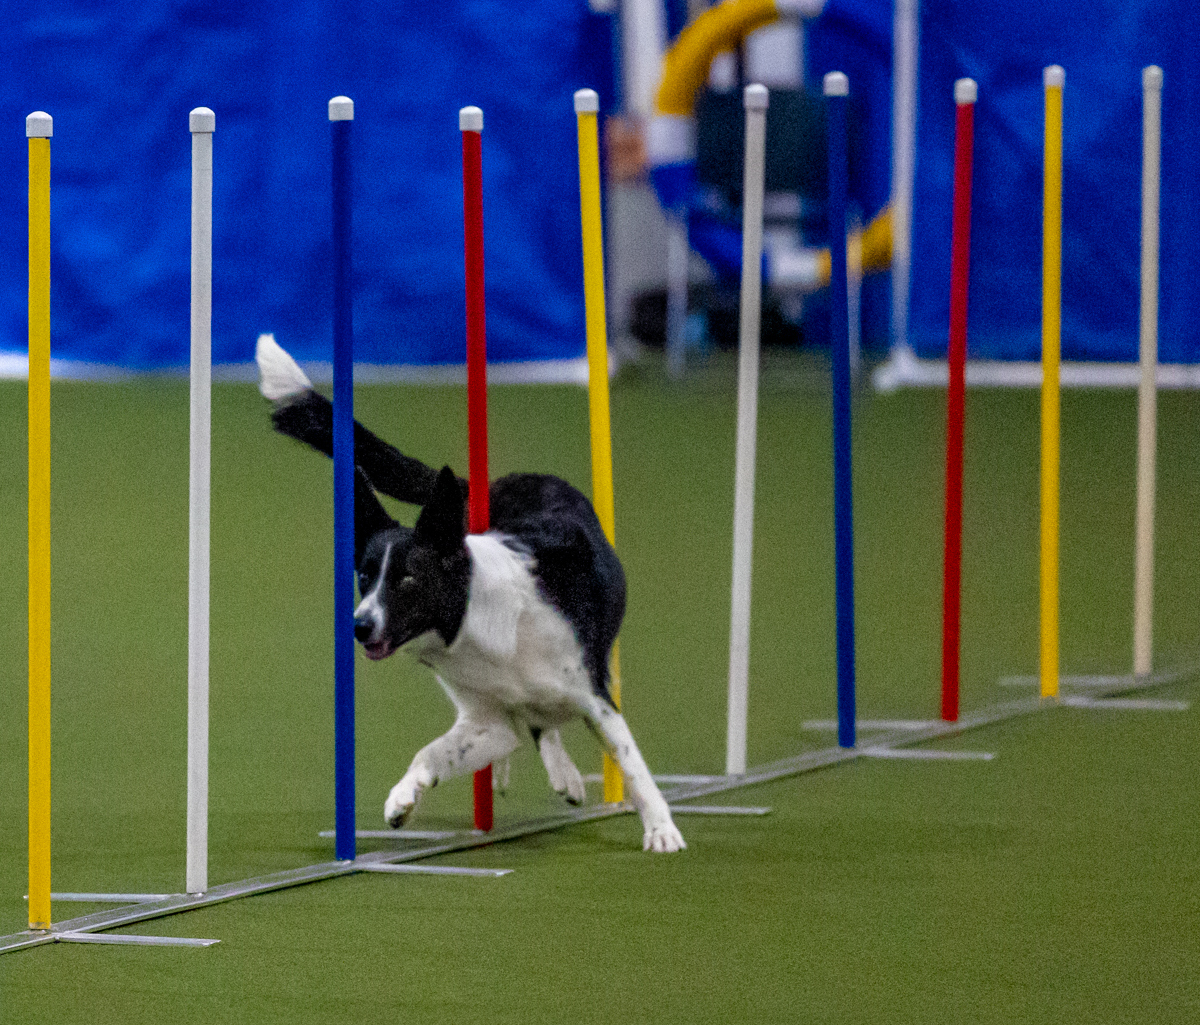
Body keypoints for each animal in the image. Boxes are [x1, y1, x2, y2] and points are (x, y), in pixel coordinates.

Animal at [256, 335, 684, 853]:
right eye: (364, 577)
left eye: (408, 580)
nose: (359, 626)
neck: (477, 622)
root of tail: (498, 481)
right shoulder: (488, 720)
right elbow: (435, 751)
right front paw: (403, 799)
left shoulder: (596, 698)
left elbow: (633, 765)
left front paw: (661, 830)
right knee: (538, 726)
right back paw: (551, 772)